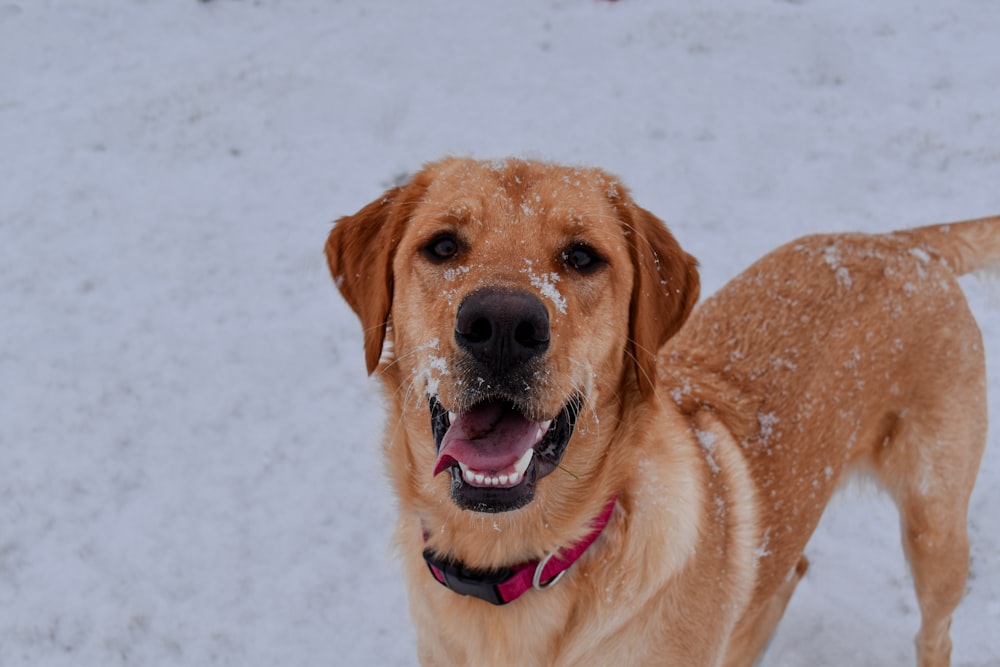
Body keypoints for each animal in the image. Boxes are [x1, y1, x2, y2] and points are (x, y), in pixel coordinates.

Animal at [324, 158, 996, 667]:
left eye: (582, 257)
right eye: (442, 245)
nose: (504, 325)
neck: (515, 562)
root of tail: (905, 245)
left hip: (936, 530)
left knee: (935, 633)